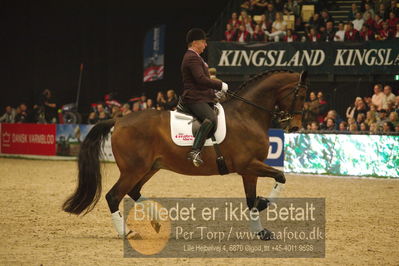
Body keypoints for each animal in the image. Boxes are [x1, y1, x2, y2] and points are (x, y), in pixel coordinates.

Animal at [64, 69, 310, 240]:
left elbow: (251, 200)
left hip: (149, 168)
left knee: (133, 191)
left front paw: (260, 231)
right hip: (134, 169)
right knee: (114, 196)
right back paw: (127, 232)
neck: (247, 115)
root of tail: (119, 119)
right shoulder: (248, 165)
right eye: (299, 94)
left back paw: (156, 220)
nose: (296, 127)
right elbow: (281, 177)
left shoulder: (249, 170)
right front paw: (265, 202)